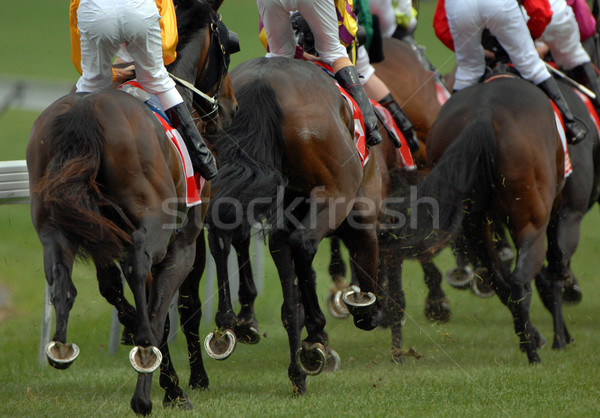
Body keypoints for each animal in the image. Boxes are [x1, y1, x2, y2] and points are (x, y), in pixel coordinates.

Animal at [26, 0, 237, 414]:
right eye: (226, 43)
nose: (229, 108)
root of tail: (85, 113)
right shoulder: (184, 242)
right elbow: (174, 310)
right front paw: (175, 386)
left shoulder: (101, 236)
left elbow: (117, 292)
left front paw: (163, 376)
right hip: (153, 227)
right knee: (138, 267)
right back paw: (142, 372)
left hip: (52, 223)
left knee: (60, 276)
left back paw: (61, 346)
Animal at [204, 57, 382, 394]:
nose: (371, 317)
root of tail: (262, 81)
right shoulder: (355, 206)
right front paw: (313, 345)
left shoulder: (280, 222)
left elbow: (290, 299)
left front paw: (297, 370)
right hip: (334, 192)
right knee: (304, 243)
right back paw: (313, 334)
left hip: (223, 174)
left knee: (222, 230)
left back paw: (228, 323)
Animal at [380, 76, 568, 364]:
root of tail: (482, 117)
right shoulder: (554, 204)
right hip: (529, 221)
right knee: (519, 280)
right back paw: (533, 352)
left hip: (474, 225)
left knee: (502, 282)